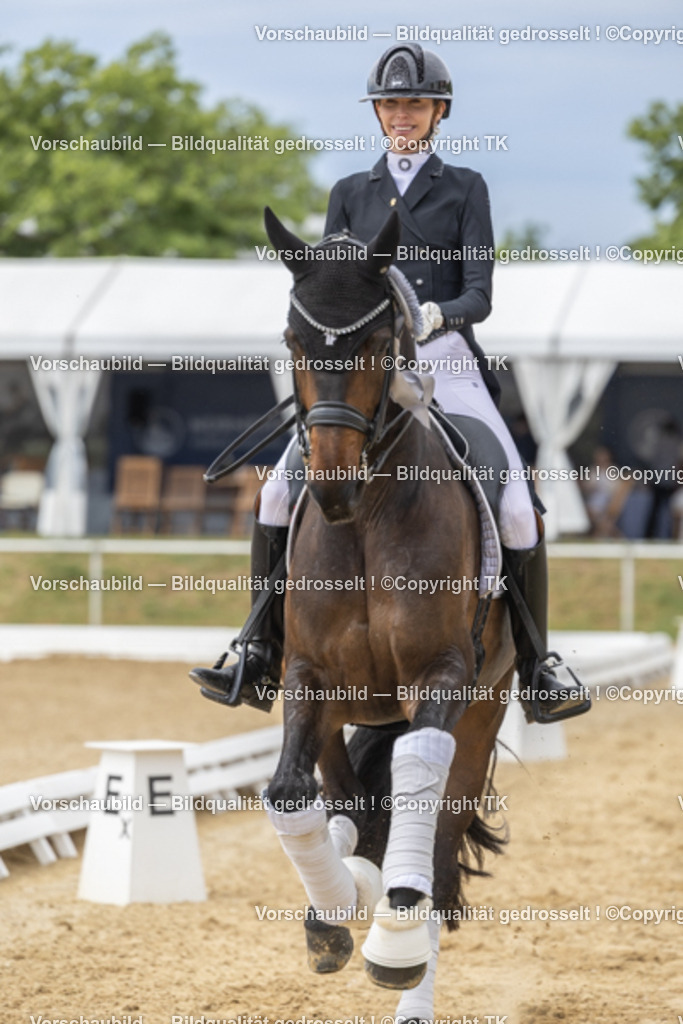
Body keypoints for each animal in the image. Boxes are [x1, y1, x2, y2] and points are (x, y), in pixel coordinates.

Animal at [260, 207, 516, 1020]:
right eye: (292, 341)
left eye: (377, 344)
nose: (331, 484)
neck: (367, 519)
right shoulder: (308, 676)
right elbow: (289, 794)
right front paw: (334, 913)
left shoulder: (444, 676)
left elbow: (415, 784)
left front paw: (392, 940)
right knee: (344, 802)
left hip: (484, 708)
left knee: (432, 836)